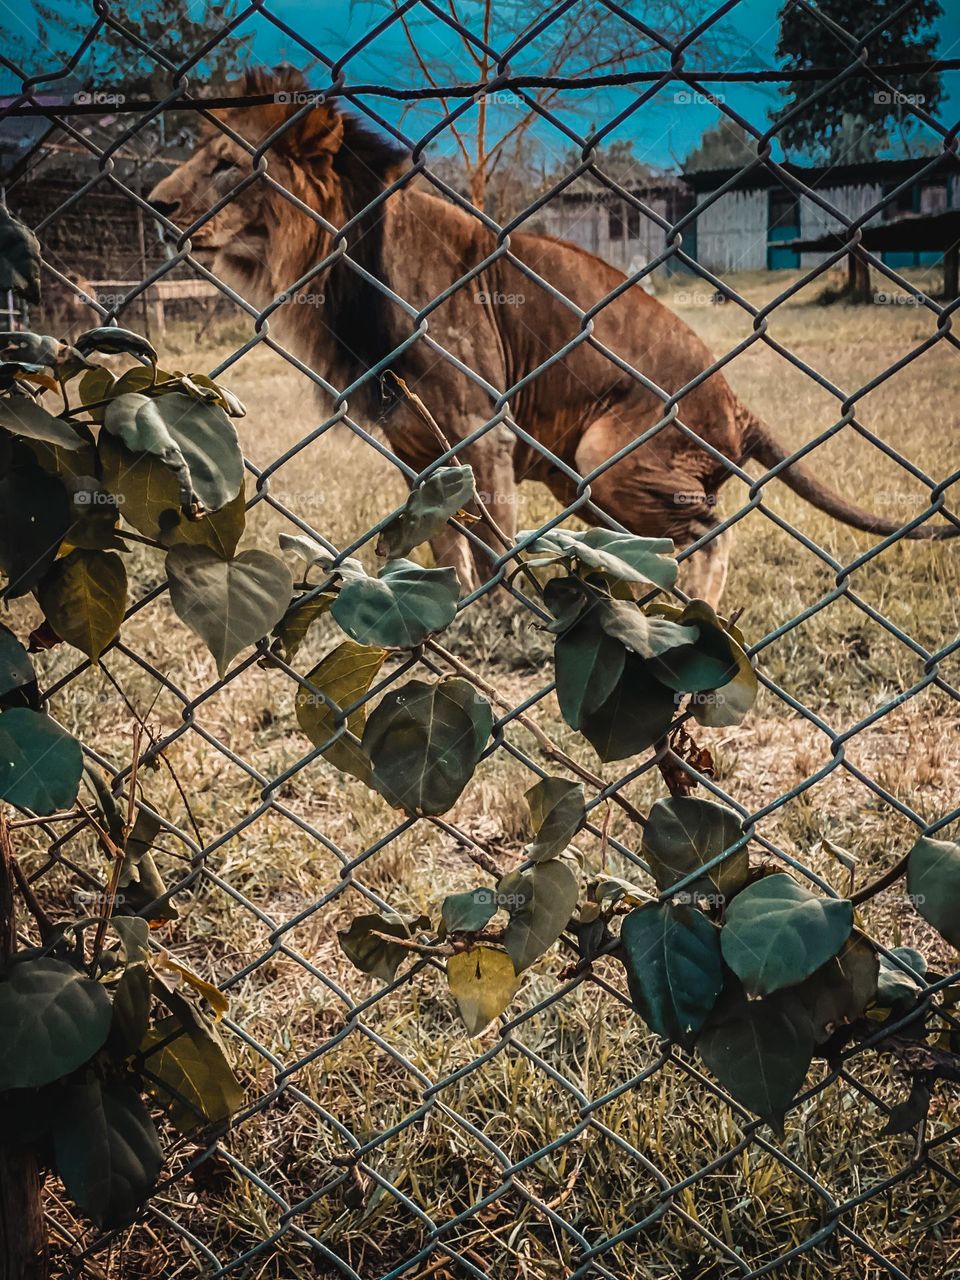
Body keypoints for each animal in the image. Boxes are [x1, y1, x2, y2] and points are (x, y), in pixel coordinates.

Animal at [148, 71, 955, 605]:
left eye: (227, 165)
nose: (156, 206)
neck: (336, 261)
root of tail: (737, 406)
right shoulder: (414, 445)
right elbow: (445, 539)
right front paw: (450, 615)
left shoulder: (482, 428)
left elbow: (494, 541)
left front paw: (497, 619)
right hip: (585, 477)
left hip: (609, 455)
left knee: (712, 530)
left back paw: (694, 609)